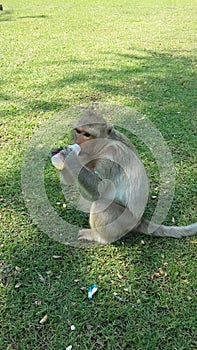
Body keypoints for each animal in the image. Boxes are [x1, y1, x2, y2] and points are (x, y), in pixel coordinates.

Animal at [54, 109, 197, 243]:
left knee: (102, 202)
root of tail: (140, 221)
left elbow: (99, 191)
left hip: (124, 222)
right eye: (78, 131)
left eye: (87, 134)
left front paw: (71, 157)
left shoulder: (112, 155)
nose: (78, 141)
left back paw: (101, 238)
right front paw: (59, 154)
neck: (103, 145)